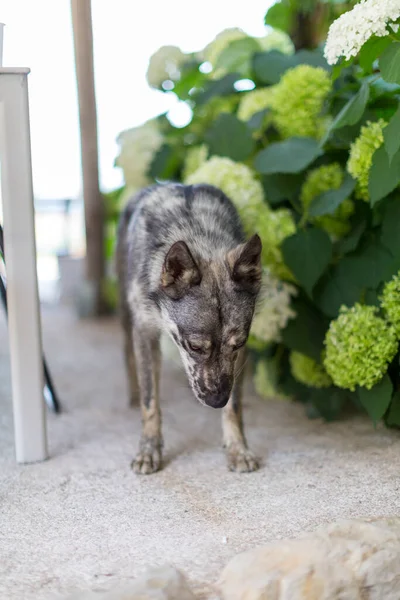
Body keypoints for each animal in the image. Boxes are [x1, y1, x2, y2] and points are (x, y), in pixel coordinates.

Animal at [117, 183, 262, 474]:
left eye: (238, 344)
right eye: (194, 346)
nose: (217, 402)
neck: (197, 235)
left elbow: (236, 407)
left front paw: (238, 449)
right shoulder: (145, 332)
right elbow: (150, 401)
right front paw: (148, 450)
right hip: (126, 314)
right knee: (128, 353)